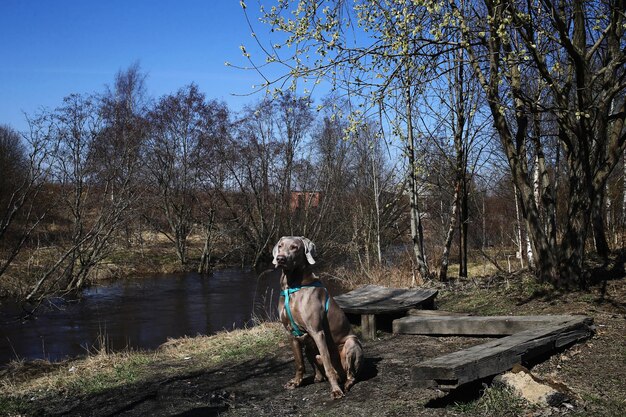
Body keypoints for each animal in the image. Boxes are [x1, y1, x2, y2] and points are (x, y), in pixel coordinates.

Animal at [272, 236, 364, 398]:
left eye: (295, 247)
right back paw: (317, 378)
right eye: (280, 246)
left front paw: (335, 390)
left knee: (350, 374)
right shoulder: (291, 334)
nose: (280, 258)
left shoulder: (317, 332)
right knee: (319, 368)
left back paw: (345, 384)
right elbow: (299, 364)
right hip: (309, 347)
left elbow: (328, 367)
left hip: (351, 343)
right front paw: (296, 383)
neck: (292, 286)